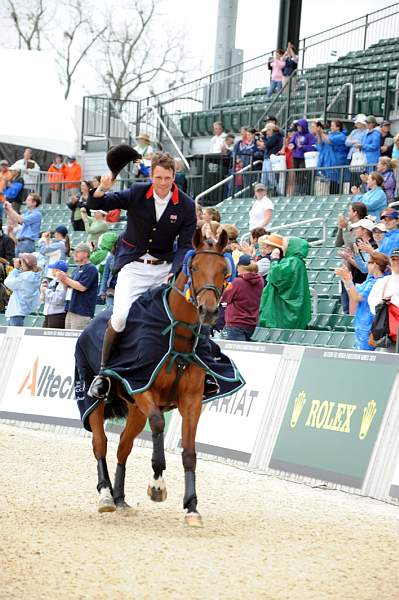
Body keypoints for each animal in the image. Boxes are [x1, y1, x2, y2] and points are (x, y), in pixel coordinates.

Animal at [83, 227, 234, 528]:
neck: (178, 337)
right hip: (94, 403)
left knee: (123, 447)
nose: (209, 311)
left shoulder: (192, 402)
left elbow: (189, 452)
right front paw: (157, 484)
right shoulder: (142, 387)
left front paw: (192, 507)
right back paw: (106, 496)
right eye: (195, 267)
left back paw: (120, 499)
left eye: (224, 270)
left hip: (133, 411)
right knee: (100, 444)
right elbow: (158, 424)